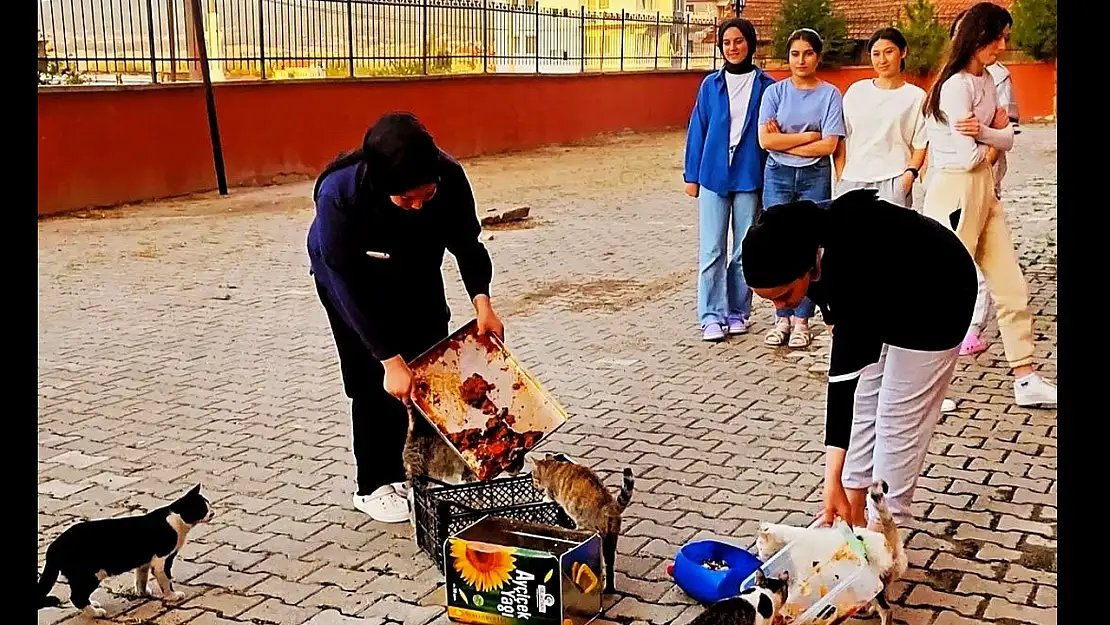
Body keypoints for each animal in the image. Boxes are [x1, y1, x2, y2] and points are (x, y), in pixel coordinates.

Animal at [37, 484, 212, 617]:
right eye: (203, 508)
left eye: (208, 504)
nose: (213, 512)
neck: (176, 519)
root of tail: (54, 546)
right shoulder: (162, 560)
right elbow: (166, 580)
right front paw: (172, 596)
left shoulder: (144, 561)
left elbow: (141, 578)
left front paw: (142, 593)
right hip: (90, 574)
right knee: (76, 597)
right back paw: (96, 613)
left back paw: (93, 605)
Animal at [528, 452, 634, 595]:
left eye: (534, 476)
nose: (534, 485)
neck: (553, 467)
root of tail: (608, 504)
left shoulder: (552, 491)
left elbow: (549, 495)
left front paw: (545, 497)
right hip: (611, 539)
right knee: (610, 564)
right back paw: (608, 589)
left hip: (586, 525)